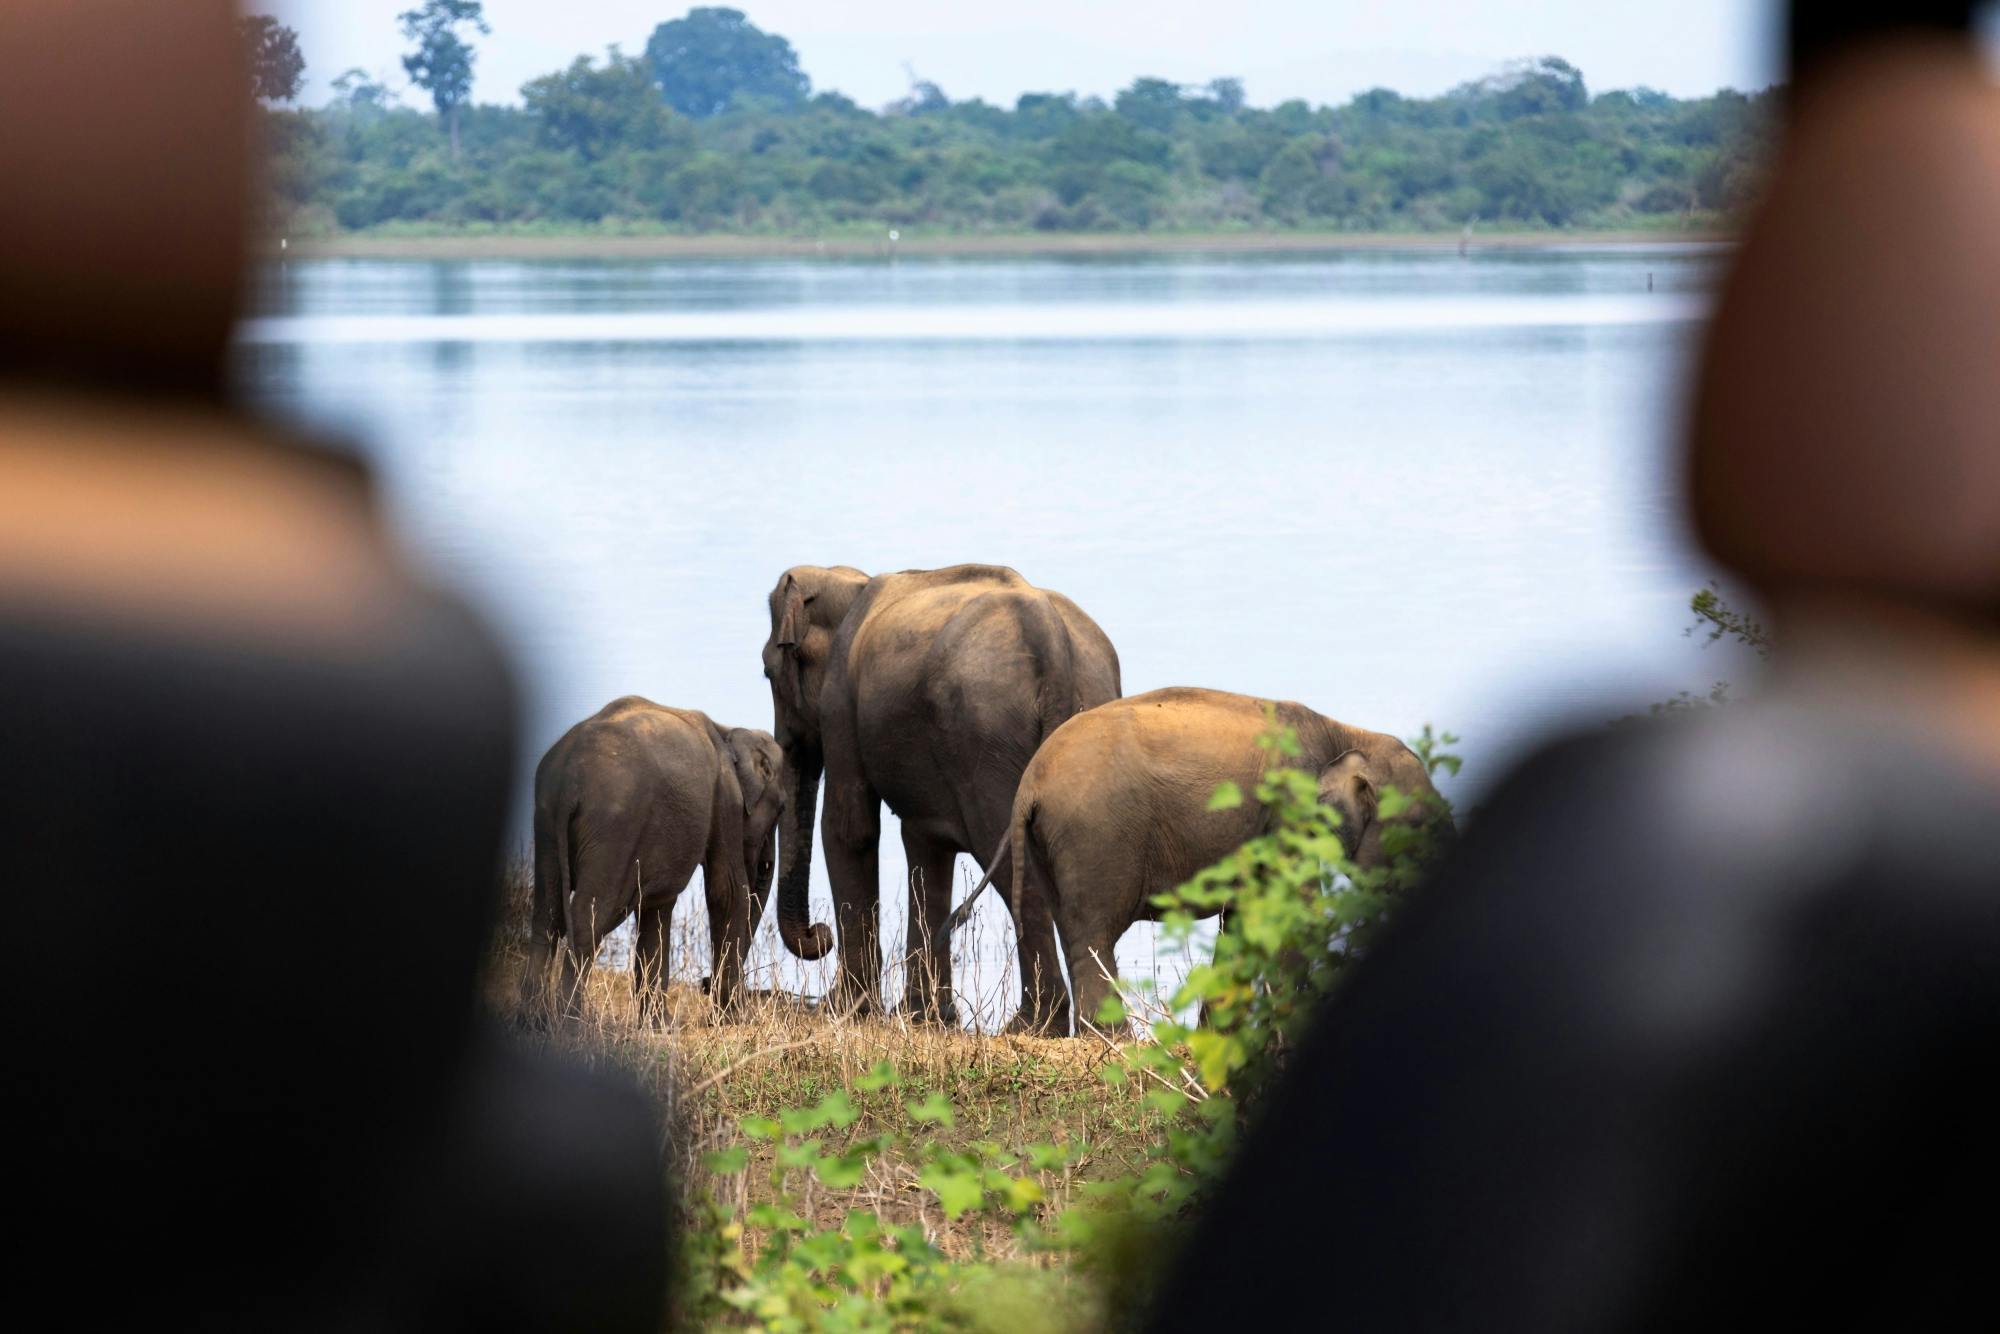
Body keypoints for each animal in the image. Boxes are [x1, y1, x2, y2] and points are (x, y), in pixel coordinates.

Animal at [520, 700, 784, 1024]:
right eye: (781, 809)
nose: (705, 985)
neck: (728, 731)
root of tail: (570, 775)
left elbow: (658, 907)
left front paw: (661, 1026)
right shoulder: (726, 799)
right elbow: (728, 892)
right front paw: (735, 1020)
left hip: (545, 819)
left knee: (547, 912)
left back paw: (533, 1019)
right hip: (614, 827)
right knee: (589, 914)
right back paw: (571, 1020)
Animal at [760, 564, 1120, 1032]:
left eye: (767, 673)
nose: (817, 935)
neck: (852, 581)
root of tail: (1050, 635)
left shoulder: (840, 703)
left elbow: (849, 828)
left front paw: (845, 1010)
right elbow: (923, 843)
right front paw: (925, 1017)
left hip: (986, 736)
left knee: (1012, 859)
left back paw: (1033, 1024)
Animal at [944, 696, 1448, 1040]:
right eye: (1422, 826)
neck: (1346, 735)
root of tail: (1030, 780)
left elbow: (1244, 917)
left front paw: (1218, 1038)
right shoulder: (1291, 810)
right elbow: (1293, 910)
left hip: (1050, 841)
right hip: (1097, 834)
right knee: (1093, 932)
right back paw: (1118, 1043)